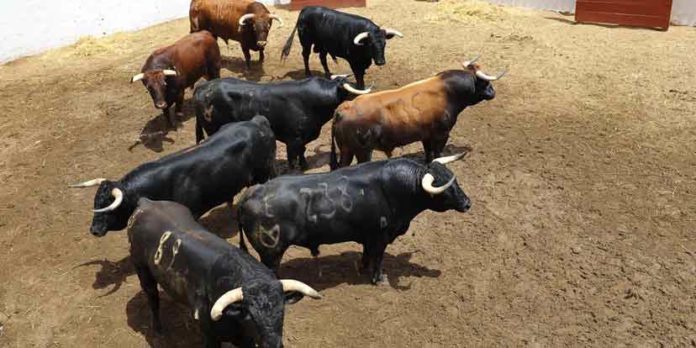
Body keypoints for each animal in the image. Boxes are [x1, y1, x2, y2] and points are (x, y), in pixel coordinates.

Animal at [128, 198, 320, 348]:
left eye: (282, 310)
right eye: (251, 316)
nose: (273, 344)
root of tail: (146, 202)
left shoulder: (247, 340)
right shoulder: (211, 337)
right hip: (141, 269)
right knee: (152, 297)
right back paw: (158, 329)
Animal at [193, 75, 372, 170]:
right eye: (351, 88)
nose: (362, 88)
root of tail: (202, 89)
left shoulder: (302, 138)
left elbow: (302, 151)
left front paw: (304, 165)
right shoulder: (293, 140)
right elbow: (293, 157)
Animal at [239, 154, 474, 284]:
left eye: (455, 180)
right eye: (443, 188)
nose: (467, 203)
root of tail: (251, 194)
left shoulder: (369, 235)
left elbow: (367, 253)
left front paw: (362, 267)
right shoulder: (381, 236)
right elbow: (378, 258)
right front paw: (378, 278)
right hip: (271, 253)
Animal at [332, 57, 506, 169]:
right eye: (485, 82)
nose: (493, 92)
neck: (448, 92)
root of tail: (344, 109)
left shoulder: (426, 136)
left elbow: (429, 155)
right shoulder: (442, 135)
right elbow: (437, 154)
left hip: (346, 150)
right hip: (363, 152)